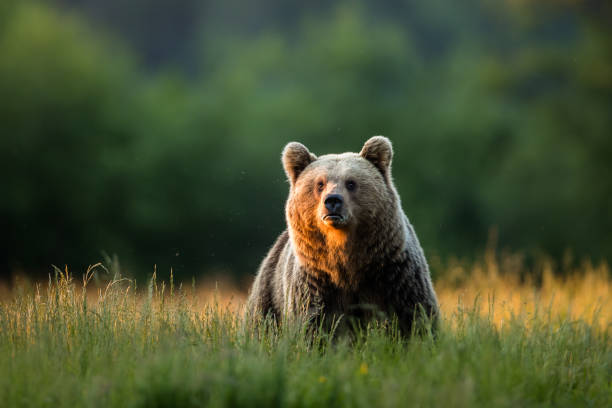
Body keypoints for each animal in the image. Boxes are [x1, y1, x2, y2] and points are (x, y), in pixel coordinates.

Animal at [246, 136, 438, 334]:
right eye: (320, 184)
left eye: (351, 183)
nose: (332, 201)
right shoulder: (315, 283)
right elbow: (311, 324)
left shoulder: (394, 275)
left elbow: (414, 315)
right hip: (269, 294)